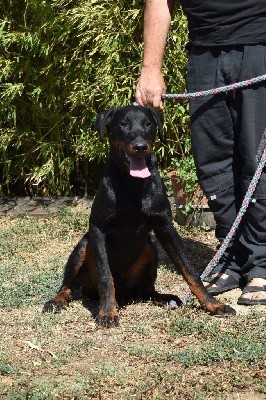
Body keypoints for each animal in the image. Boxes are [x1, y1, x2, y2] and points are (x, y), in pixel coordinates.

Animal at [42, 104, 236, 326]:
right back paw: (58, 300)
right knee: (68, 285)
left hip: (150, 248)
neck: (133, 184)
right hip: (84, 246)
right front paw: (107, 312)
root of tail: (124, 295)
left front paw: (213, 304)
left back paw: (164, 298)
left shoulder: (165, 227)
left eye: (148, 124)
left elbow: (190, 271)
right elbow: (105, 276)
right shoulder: (98, 228)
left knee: (147, 290)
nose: (140, 147)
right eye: (123, 124)